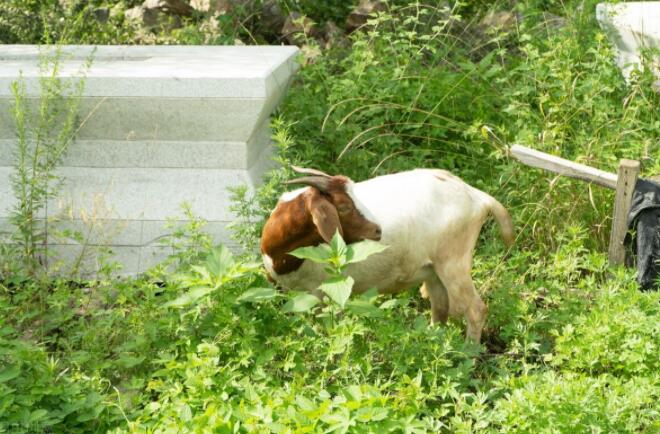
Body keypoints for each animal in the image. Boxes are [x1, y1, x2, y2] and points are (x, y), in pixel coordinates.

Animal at [260, 167, 516, 342]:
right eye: (343, 206)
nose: (377, 230)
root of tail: (476, 196)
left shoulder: (326, 293)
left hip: (453, 262)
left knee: (475, 309)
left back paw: (469, 354)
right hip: (433, 270)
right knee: (440, 306)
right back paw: (432, 341)